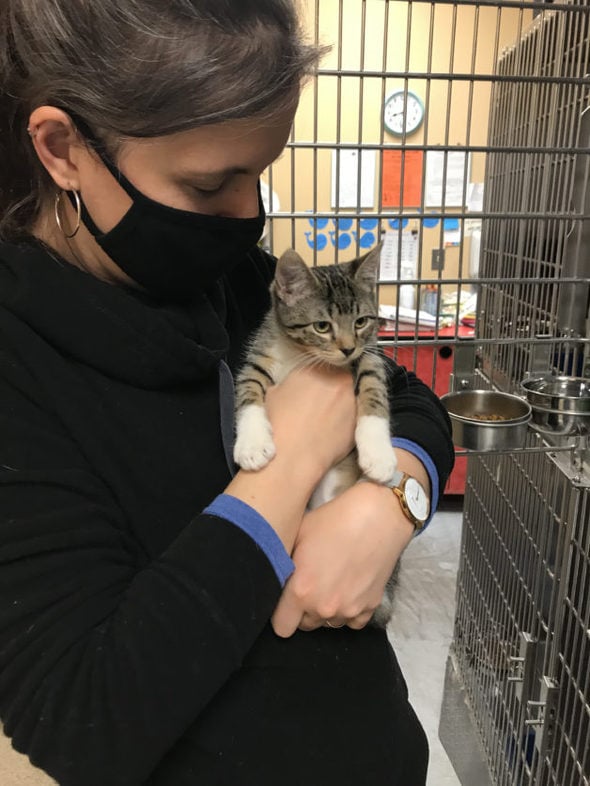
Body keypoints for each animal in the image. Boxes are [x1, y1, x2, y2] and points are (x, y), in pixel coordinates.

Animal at [234, 245, 400, 624]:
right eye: (322, 326)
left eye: (361, 321)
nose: (347, 348)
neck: (301, 355)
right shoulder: (259, 358)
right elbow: (248, 391)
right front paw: (252, 444)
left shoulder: (370, 356)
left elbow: (374, 387)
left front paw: (379, 454)